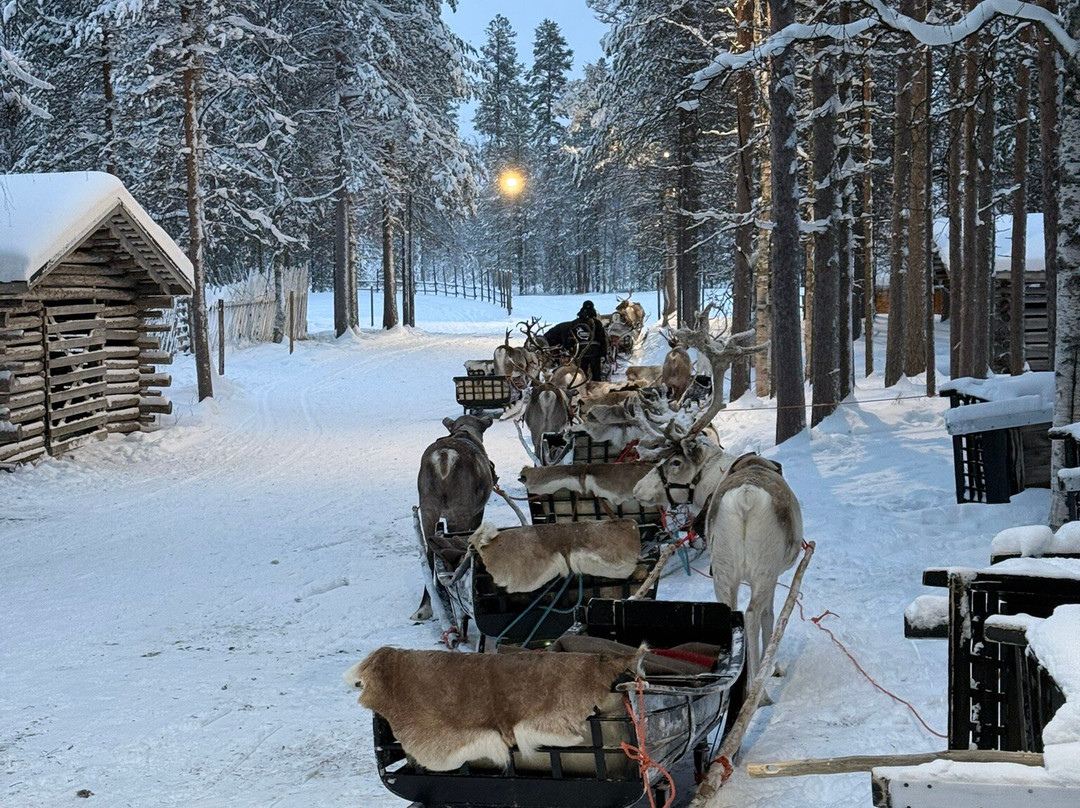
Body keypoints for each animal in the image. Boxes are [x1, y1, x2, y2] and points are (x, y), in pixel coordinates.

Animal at [632, 327, 800, 682]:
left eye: (674, 462)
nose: (637, 489)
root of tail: (746, 501)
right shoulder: (776, 573)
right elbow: (770, 616)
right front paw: (775, 667)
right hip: (763, 567)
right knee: (752, 614)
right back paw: (758, 685)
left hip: (722, 567)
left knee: (733, 614)